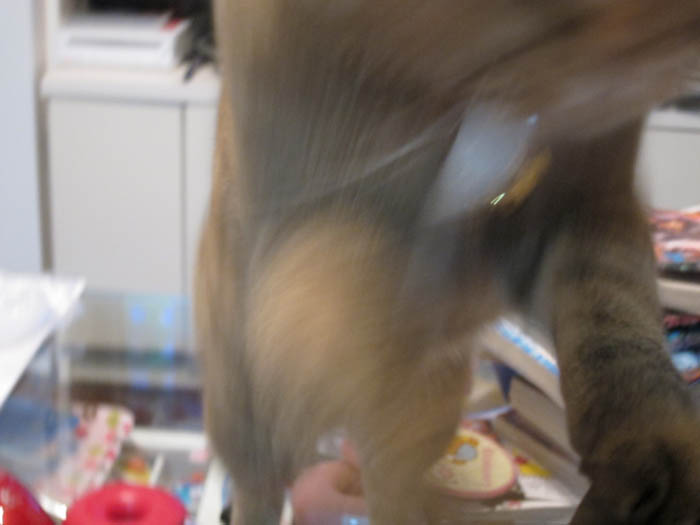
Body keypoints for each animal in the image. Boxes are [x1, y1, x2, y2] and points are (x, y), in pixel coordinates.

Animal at [195, 1, 700, 523]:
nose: (673, 43)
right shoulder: (308, 224)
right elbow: (345, 311)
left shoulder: (588, 207)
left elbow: (618, 325)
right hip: (240, 404)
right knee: (265, 478)